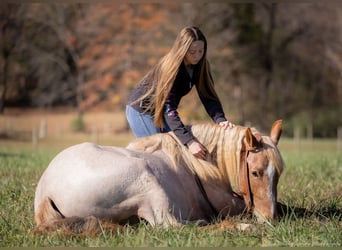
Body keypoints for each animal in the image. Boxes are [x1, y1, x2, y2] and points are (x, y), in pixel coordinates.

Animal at [33, 120, 284, 233]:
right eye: (255, 173)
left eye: (278, 175)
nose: (269, 220)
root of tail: (46, 189)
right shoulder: (228, 202)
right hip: (149, 186)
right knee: (171, 226)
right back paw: (235, 226)